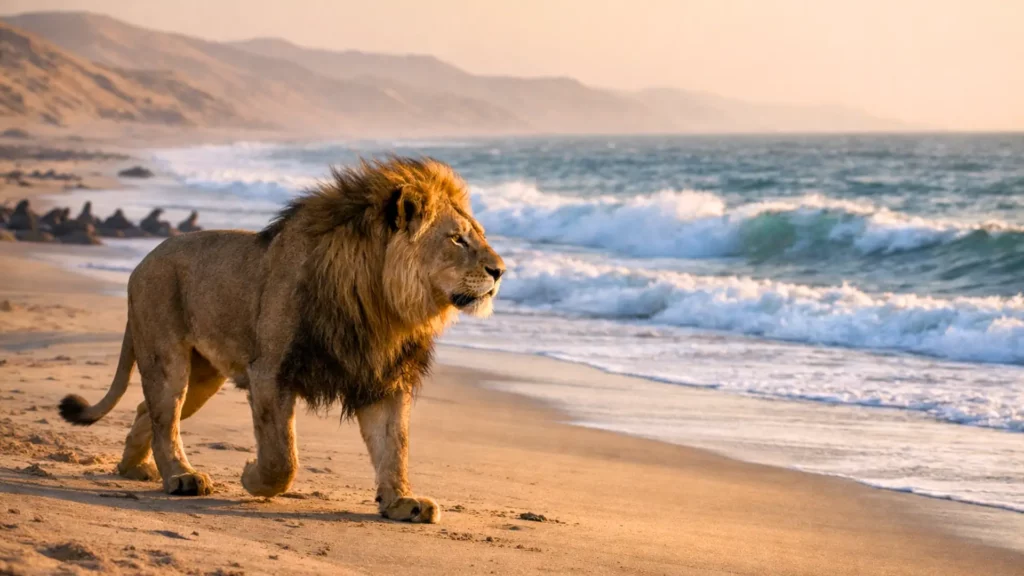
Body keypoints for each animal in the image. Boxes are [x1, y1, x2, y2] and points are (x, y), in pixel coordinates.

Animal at [58, 157, 505, 523]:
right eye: (457, 239)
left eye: (479, 235)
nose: (500, 270)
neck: (382, 305)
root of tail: (143, 261)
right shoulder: (271, 372)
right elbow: (282, 458)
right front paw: (251, 478)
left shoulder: (380, 377)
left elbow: (394, 445)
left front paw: (400, 502)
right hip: (169, 360)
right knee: (165, 418)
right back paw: (182, 477)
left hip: (203, 376)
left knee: (145, 412)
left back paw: (134, 468)